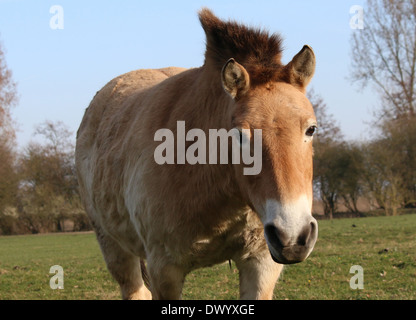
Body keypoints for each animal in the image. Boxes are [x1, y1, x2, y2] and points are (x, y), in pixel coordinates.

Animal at [75, 8, 318, 300]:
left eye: (311, 129)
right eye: (239, 135)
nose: (293, 237)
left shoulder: (260, 263)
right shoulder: (164, 270)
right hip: (115, 250)